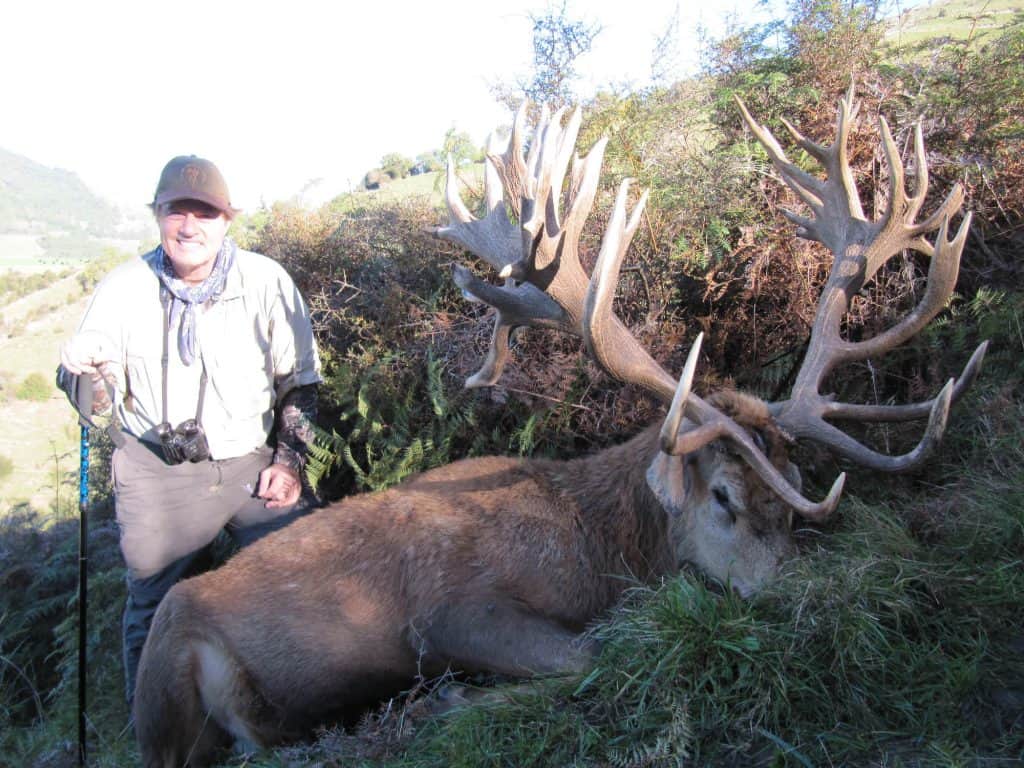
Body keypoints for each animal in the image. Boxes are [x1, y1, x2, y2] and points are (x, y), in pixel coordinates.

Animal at [132, 88, 986, 767]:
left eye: (796, 487)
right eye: (723, 498)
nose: (801, 596)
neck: (600, 551)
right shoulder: (452, 608)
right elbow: (590, 652)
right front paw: (448, 701)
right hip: (167, 670)